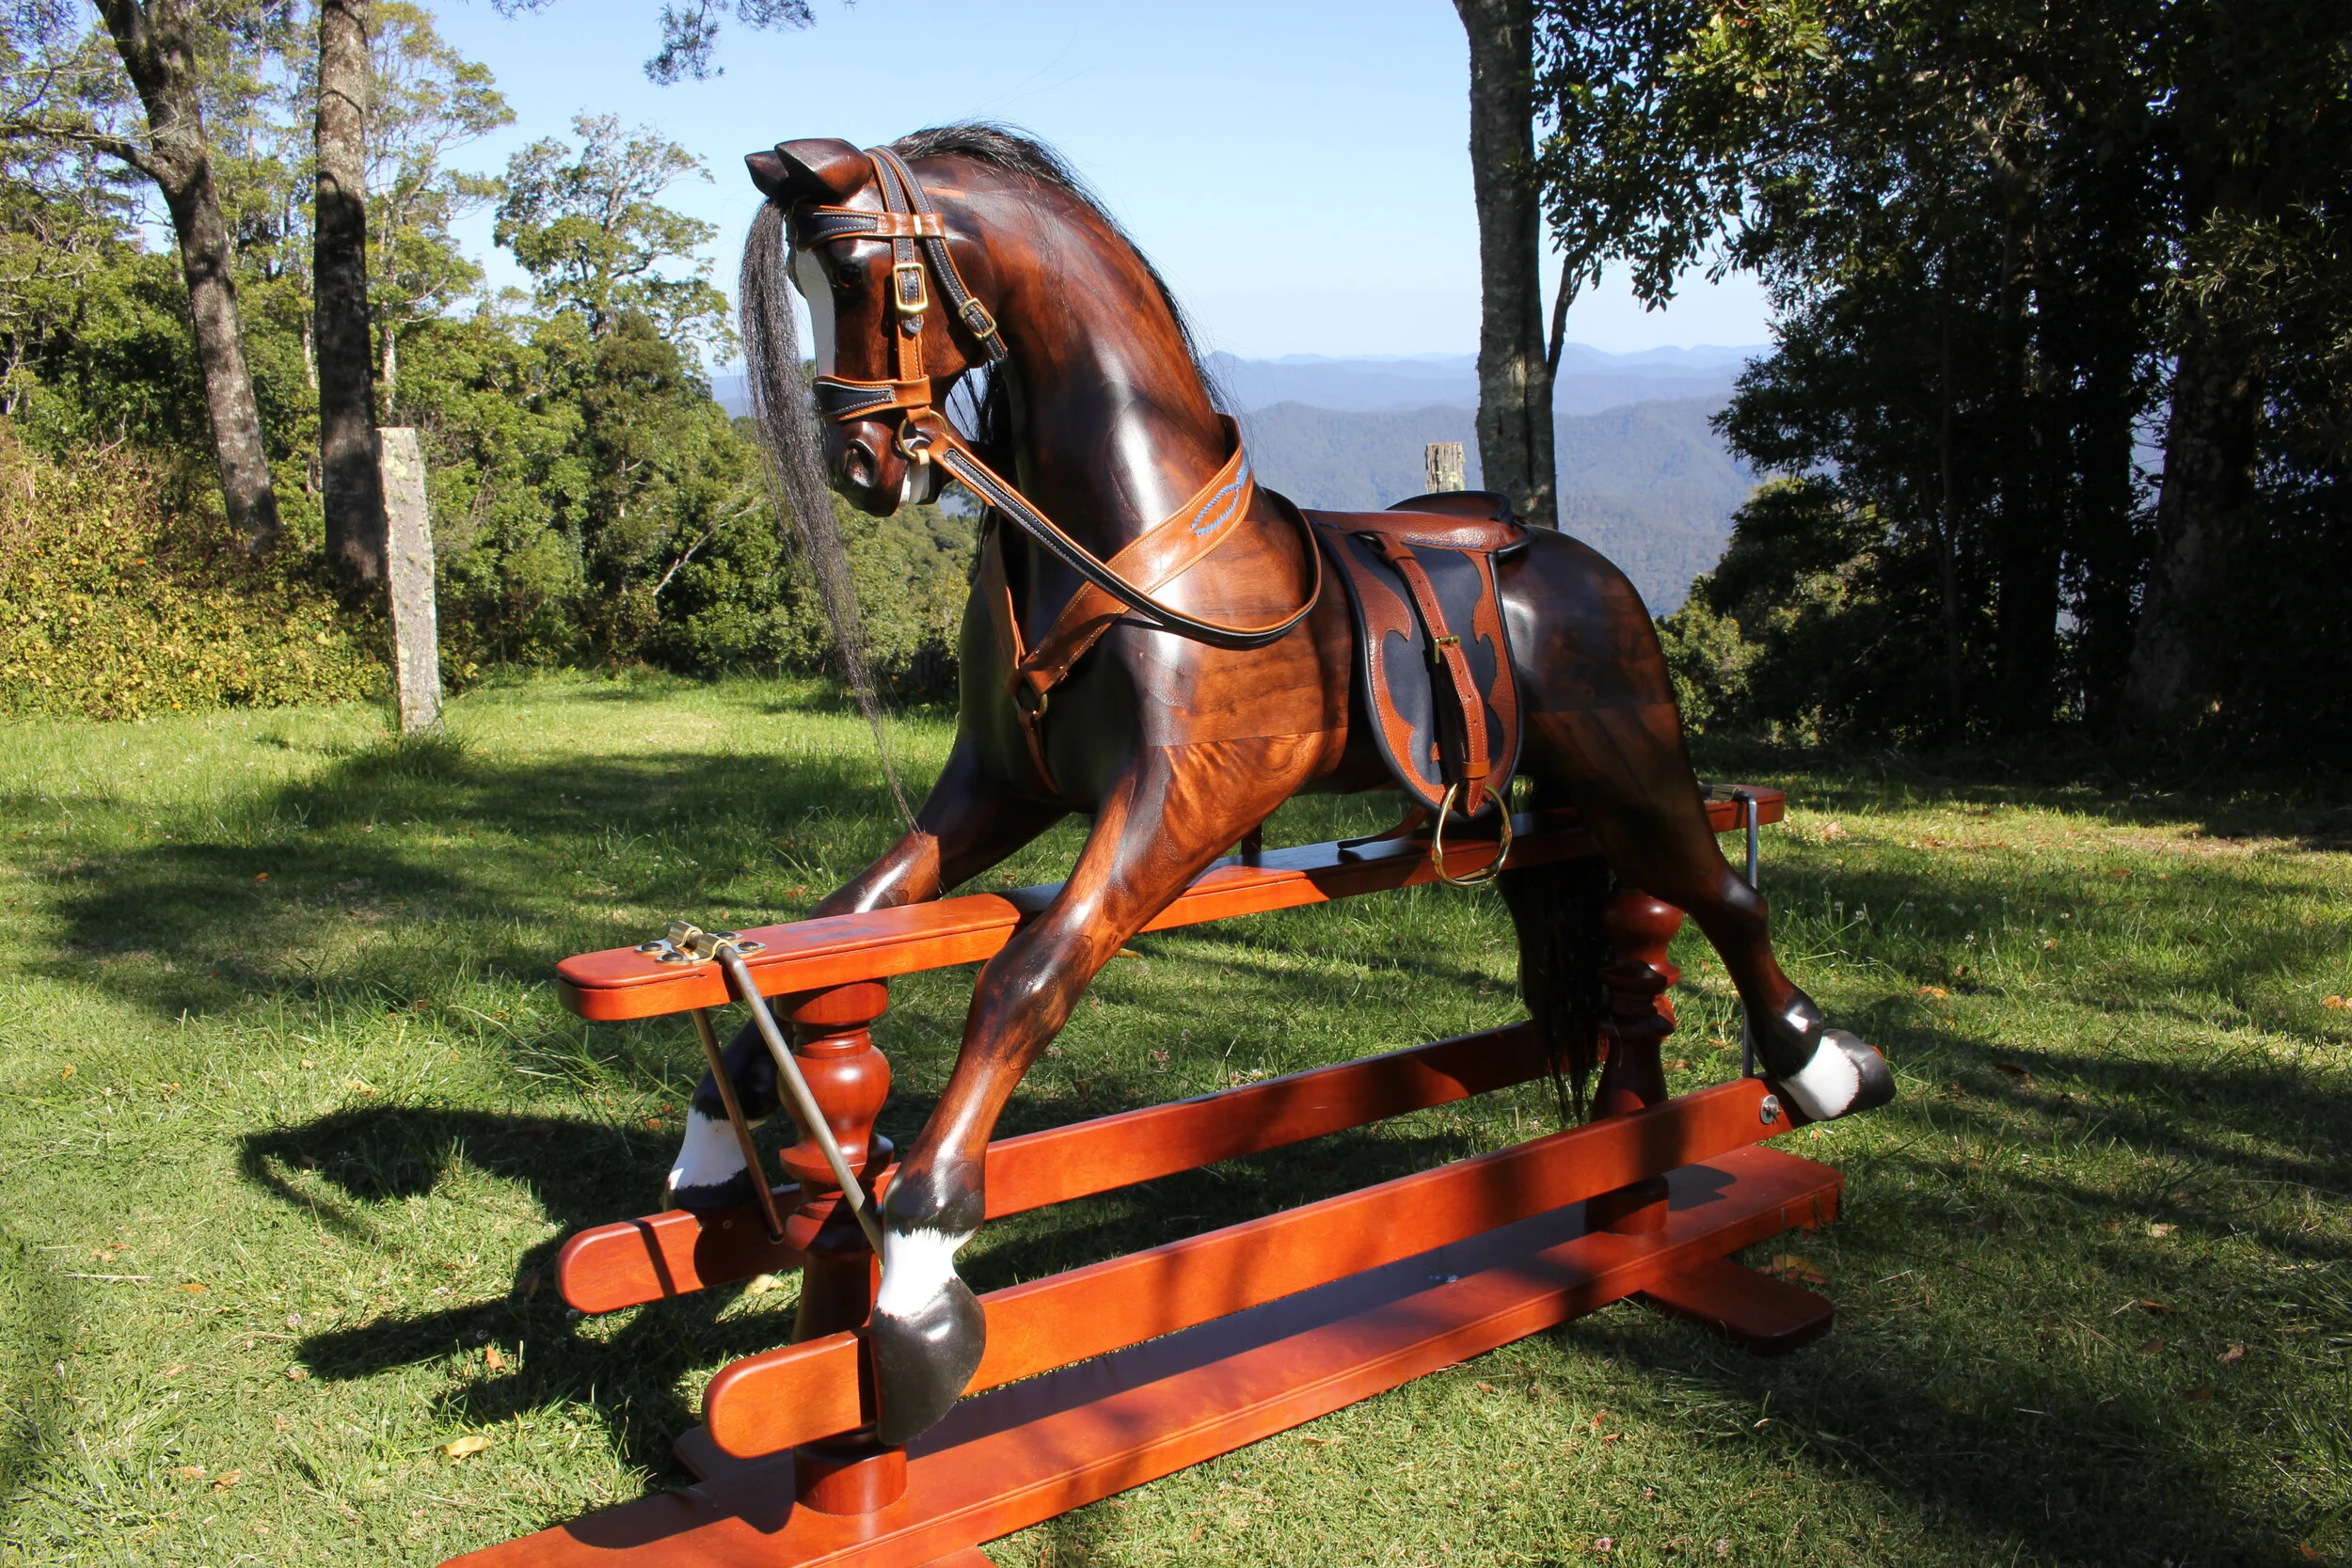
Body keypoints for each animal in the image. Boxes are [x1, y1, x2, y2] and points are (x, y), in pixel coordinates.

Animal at [664, 123, 1893, 1445]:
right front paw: (713, 1131)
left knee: (1724, 891)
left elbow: (1024, 976)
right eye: (800, 280)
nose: (857, 463)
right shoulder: (995, 788)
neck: (1127, 539)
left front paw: (919, 1272)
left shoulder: (1184, 799)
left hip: (1638, 761)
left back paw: (1823, 1066)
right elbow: (832, 922)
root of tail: (1574, 560)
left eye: (855, 273)